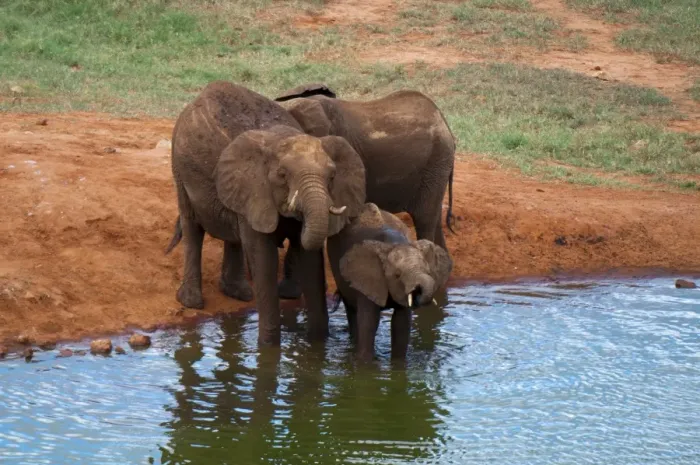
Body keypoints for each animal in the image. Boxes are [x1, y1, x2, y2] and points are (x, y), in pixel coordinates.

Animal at [165, 81, 366, 345]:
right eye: (282, 175)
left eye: (332, 177)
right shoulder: (255, 187)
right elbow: (263, 258)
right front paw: (268, 348)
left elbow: (311, 260)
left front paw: (316, 344)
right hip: (179, 167)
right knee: (192, 227)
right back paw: (191, 302)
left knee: (233, 234)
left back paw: (238, 293)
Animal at [327, 203, 452, 361]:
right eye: (397, 275)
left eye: (428, 271)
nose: (417, 291)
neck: (393, 243)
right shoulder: (367, 278)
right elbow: (369, 321)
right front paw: (365, 364)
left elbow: (401, 324)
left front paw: (398, 365)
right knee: (351, 310)